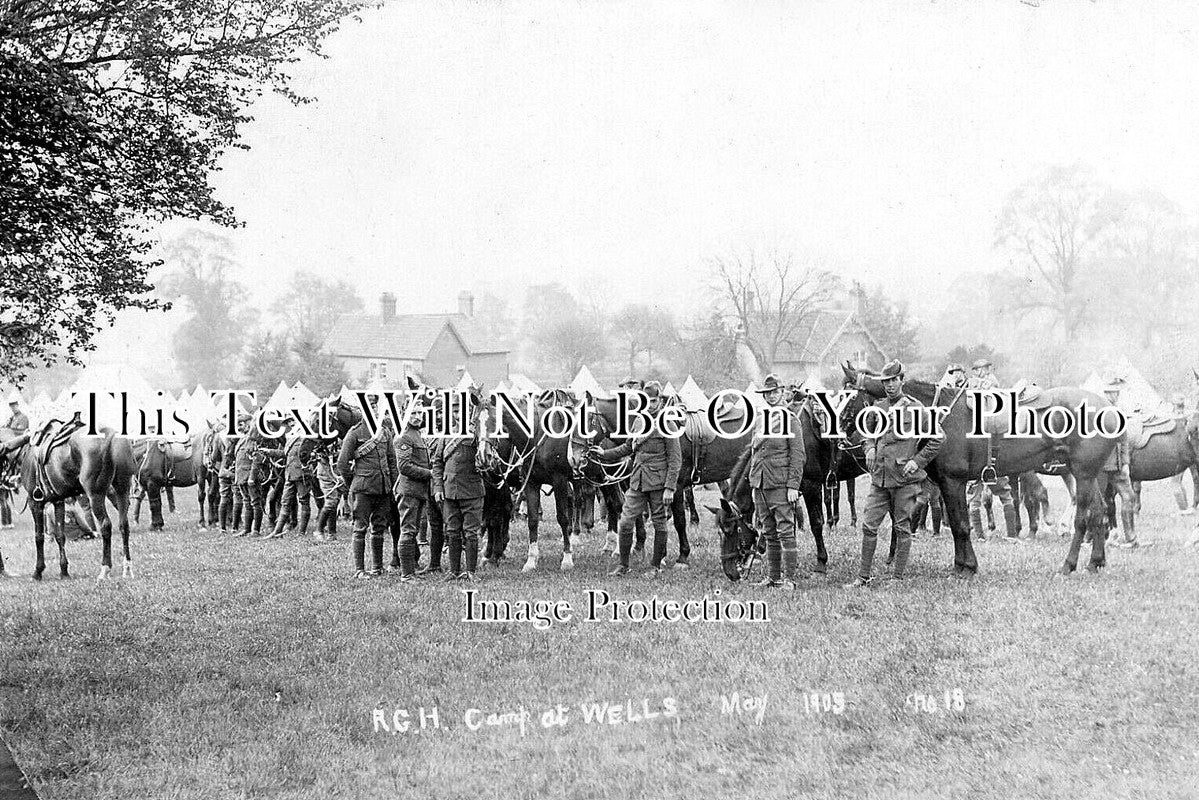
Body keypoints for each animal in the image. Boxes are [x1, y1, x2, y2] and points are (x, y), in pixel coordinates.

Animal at [0, 419, 134, 582]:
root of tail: (111, 435)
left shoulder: (35, 502)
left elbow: (39, 537)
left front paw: (38, 571)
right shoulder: (58, 501)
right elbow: (60, 536)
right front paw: (64, 571)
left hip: (95, 495)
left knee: (106, 526)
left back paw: (105, 568)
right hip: (122, 490)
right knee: (124, 525)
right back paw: (127, 567)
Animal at [844, 367, 1112, 578]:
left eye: (848, 395)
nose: (842, 433)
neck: (940, 414)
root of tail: (1108, 409)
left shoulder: (953, 482)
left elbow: (961, 525)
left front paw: (967, 567)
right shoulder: (948, 484)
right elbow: (956, 523)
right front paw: (961, 565)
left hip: (1083, 475)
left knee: (1083, 518)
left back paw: (1068, 565)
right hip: (1090, 475)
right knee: (1099, 513)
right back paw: (1094, 562)